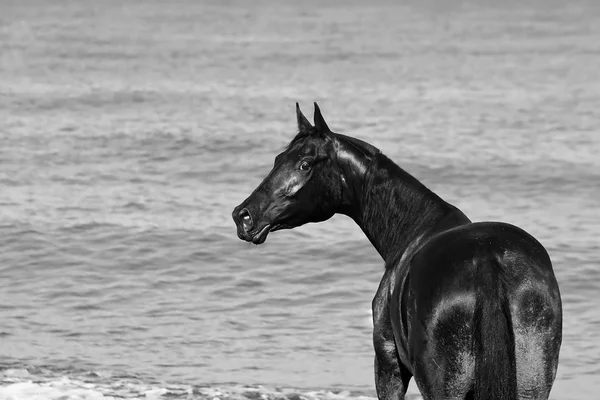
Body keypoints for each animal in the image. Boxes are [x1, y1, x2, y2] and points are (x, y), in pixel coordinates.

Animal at [231, 103, 564, 400]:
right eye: (278, 159)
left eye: (305, 164)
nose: (243, 215)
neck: (413, 230)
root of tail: (488, 260)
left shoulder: (388, 364)